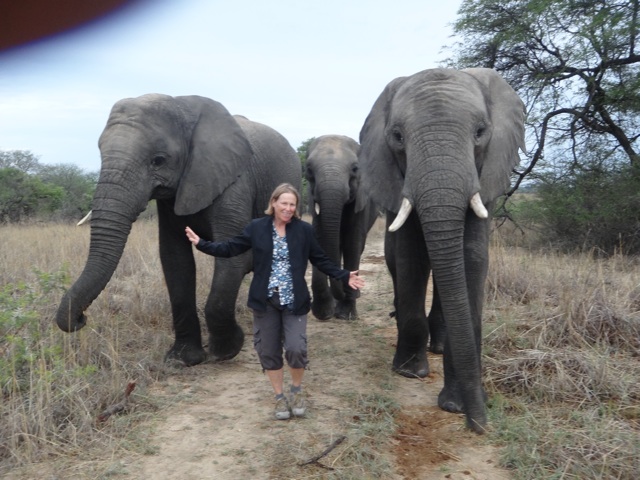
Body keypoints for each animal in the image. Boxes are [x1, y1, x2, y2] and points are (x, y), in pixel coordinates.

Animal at [55, 93, 302, 367]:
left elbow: (233, 256)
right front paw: (183, 359)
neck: (182, 106)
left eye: (158, 160)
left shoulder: (234, 182)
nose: (81, 319)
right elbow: (175, 260)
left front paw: (225, 351)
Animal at [304, 135, 378, 320]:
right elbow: (320, 239)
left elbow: (352, 243)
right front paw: (324, 312)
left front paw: (346, 315)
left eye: (355, 168)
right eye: (308, 169)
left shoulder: (361, 201)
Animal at [356, 68, 526, 432]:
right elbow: (413, 258)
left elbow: (471, 258)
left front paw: (456, 405)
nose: (479, 424)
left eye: (480, 132)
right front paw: (409, 373)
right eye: (397, 136)